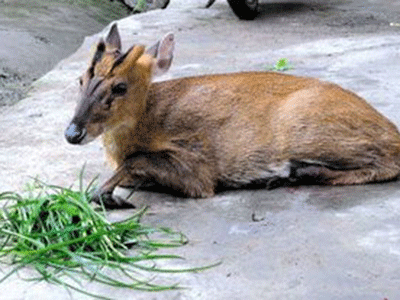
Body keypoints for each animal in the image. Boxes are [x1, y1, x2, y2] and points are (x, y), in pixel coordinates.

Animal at [64, 23, 400, 207]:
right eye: (80, 80)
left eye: (120, 87)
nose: (72, 133)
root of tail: (393, 131)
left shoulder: (196, 165)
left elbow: (136, 162)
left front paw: (107, 195)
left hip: (312, 130)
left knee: (387, 163)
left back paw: (296, 172)